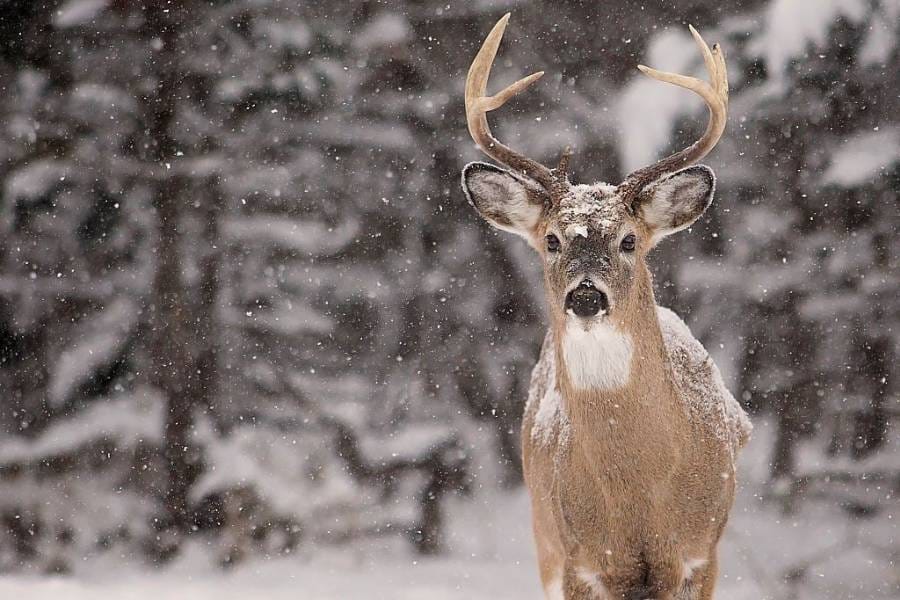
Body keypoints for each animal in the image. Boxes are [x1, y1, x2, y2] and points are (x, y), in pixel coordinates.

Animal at [460, 15, 752, 600]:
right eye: (552, 240)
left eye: (629, 240)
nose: (586, 295)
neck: (640, 500)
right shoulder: (579, 562)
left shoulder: (700, 556)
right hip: (543, 539)